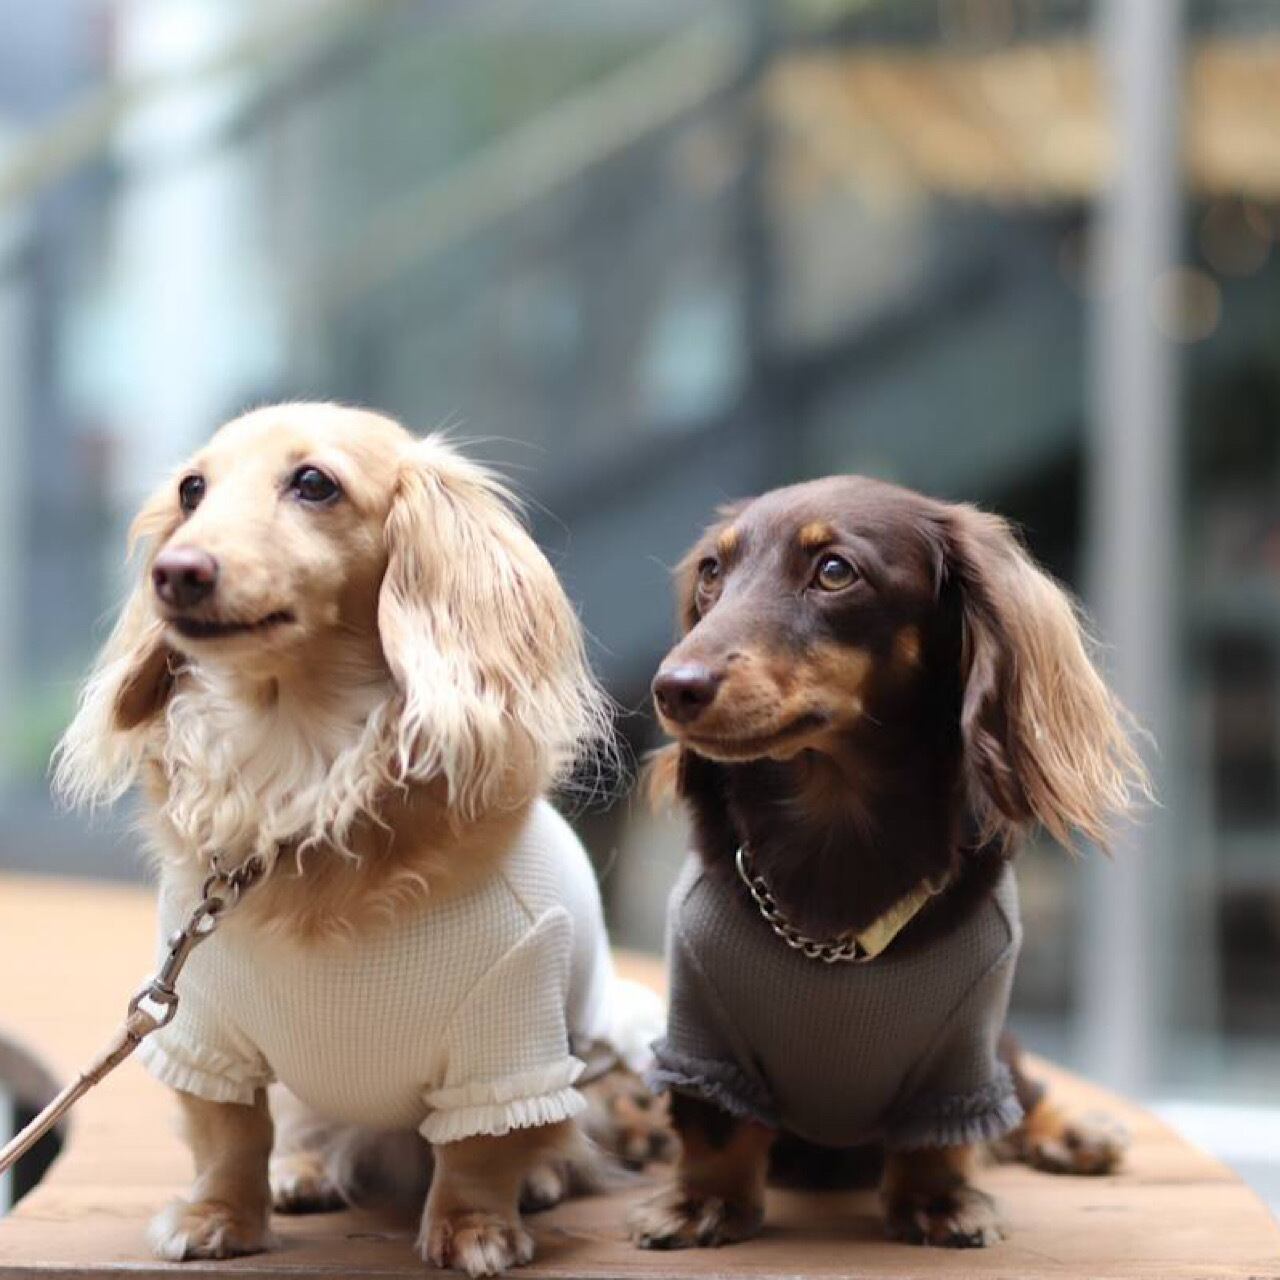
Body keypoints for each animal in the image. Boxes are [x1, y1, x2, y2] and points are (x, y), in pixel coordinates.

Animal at [52, 404, 663, 1275]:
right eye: (191, 490)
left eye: (315, 483)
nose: (175, 572)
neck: (295, 766)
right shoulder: (199, 1021)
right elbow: (230, 1134)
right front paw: (217, 1216)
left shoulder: (508, 1030)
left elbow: (478, 1151)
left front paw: (473, 1228)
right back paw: (302, 1169)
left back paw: (543, 1178)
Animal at [629, 474, 1149, 1251]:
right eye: (712, 573)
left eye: (834, 570)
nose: (674, 688)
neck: (836, 834)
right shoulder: (703, 1029)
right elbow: (717, 1126)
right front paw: (702, 1201)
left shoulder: (962, 1047)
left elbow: (942, 1136)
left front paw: (938, 1201)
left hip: (999, 1047)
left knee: (1023, 1089)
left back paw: (1072, 1131)